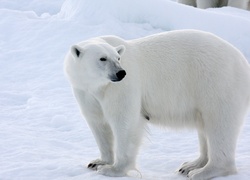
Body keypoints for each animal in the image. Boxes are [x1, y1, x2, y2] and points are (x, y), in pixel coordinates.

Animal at [64, 29, 250, 180]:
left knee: (219, 124)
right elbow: (98, 123)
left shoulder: (122, 87)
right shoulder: (85, 91)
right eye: (102, 58)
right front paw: (98, 162)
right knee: (205, 126)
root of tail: (243, 62)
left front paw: (112, 169)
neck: (98, 86)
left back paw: (203, 171)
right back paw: (191, 165)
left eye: (118, 58)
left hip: (218, 82)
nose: (121, 72)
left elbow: (124, 122)